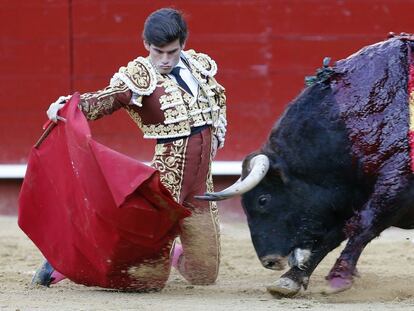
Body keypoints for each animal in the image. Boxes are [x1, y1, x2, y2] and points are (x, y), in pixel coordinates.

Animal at [196, 33, 414, 298]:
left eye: (263, 200)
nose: (269, 261)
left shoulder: (397, 185)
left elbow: (363, 224)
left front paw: (338, 278)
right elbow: (331, 236)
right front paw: (289, 280)